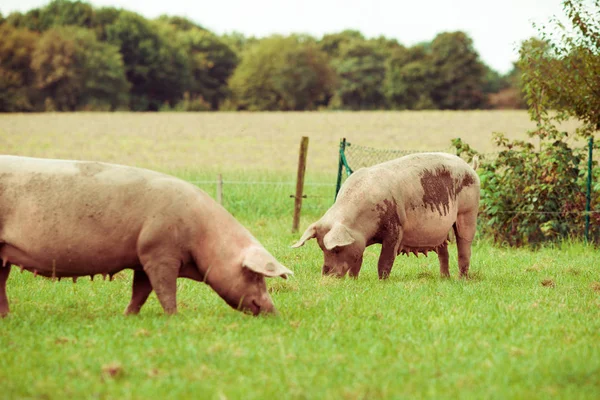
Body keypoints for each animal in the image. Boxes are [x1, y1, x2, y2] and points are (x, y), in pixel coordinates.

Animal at [0, 155, 290, 316]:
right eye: (254, 275)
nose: (274, 313)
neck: (204, 237)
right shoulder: (159, 251)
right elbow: (164, 289)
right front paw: (175, 317)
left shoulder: (142, 257)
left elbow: (141, 290)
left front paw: (127, 316)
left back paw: (7, 317)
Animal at [290, 152, 478, 280]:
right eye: (321, 248)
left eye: (336, 249)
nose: (326, 276)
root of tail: (470, 167)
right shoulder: (359, 241)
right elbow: (357, 260)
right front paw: (353, 280)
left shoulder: (395, 227)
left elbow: (385, 259)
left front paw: (382, 281)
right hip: (442, 231)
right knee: (443, 252)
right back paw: (444, 278)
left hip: (468, 212)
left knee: (464, 247)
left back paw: (462, 279)